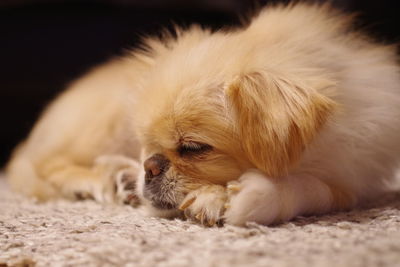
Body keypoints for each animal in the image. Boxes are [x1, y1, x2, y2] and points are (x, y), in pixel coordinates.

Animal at [7, 3, 400, 227]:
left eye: (194, 149)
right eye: (145, 145)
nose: (149, 165)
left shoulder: (351, 178)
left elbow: (314, 188)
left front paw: (247, 196)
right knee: (49, 164)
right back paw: (107, 180)